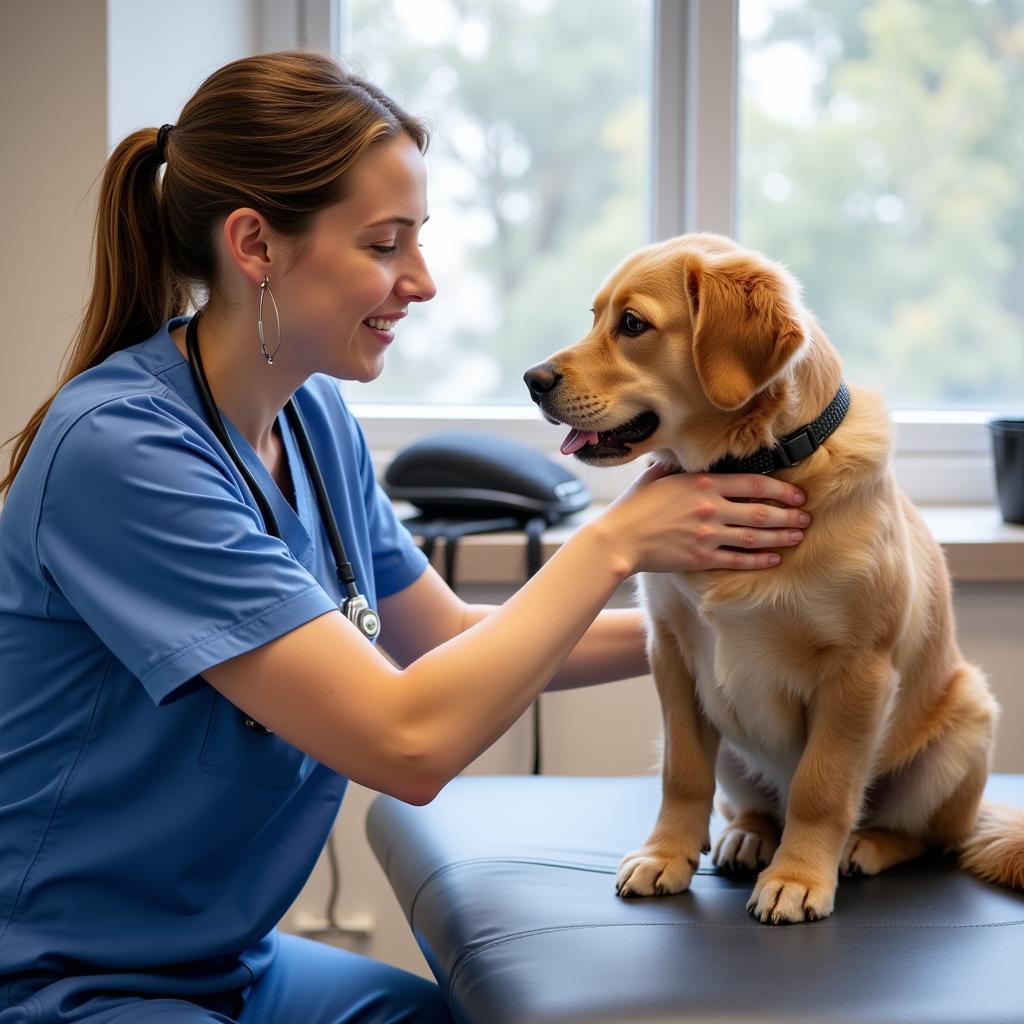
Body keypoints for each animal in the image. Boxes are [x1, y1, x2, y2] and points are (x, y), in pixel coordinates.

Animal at [524, 234, 1024, 929]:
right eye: (595, 317)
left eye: (633, 325)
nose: (533, 380)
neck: (754, 461)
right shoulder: (670, 652)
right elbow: (682, 773)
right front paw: (666, 854)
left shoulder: (857, 671)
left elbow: (822, 787)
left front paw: (797, 878)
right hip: (736, 751)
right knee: (754, 803)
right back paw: (749, 835)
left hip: (965, 725)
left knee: (927, 836)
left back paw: (865, 845)